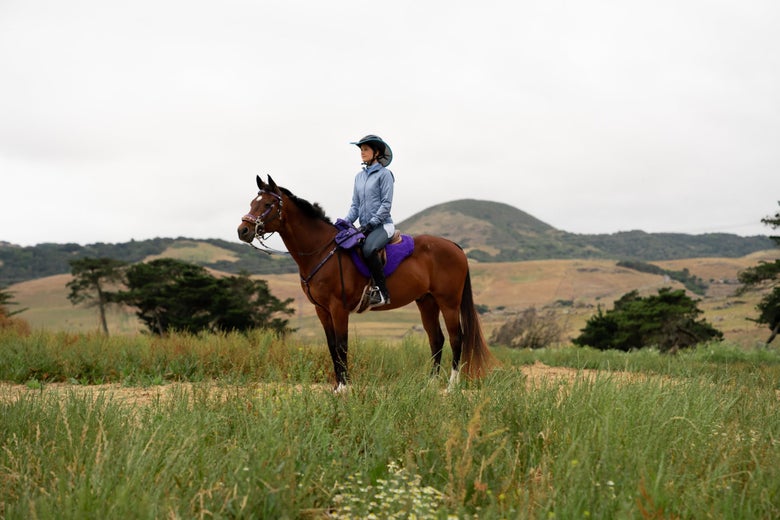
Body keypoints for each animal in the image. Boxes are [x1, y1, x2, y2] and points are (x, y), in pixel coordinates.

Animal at [237, 175, 497, 391]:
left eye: (267, 205)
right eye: (252, 202)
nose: (243, 230)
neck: (321, 250)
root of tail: (454, 246)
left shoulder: (338, 308)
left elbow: (342, 345)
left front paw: (344, 388)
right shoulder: (322, 310)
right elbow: (332, 346)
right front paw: (337, 387)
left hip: (449, 302)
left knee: (456, 338)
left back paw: (451, 387)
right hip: (427, 302)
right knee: (437, 339)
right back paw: (430, 385)